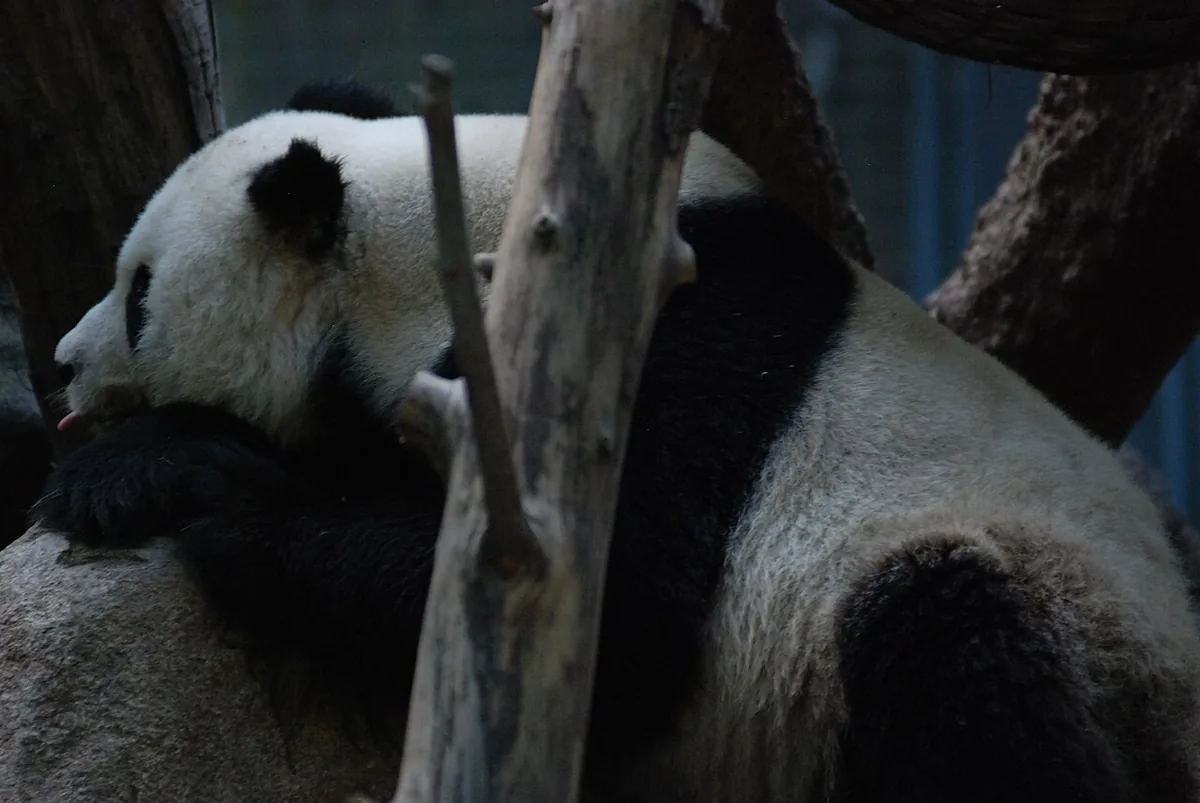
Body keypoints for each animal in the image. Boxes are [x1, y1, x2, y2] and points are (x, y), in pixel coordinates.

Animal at [35, 79, 1200, 803]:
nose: (59, 361)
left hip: (1085, 642)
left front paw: (167, 475)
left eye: (139, 293)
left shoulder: (663, 344)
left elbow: (617, 606)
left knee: (957, 644)